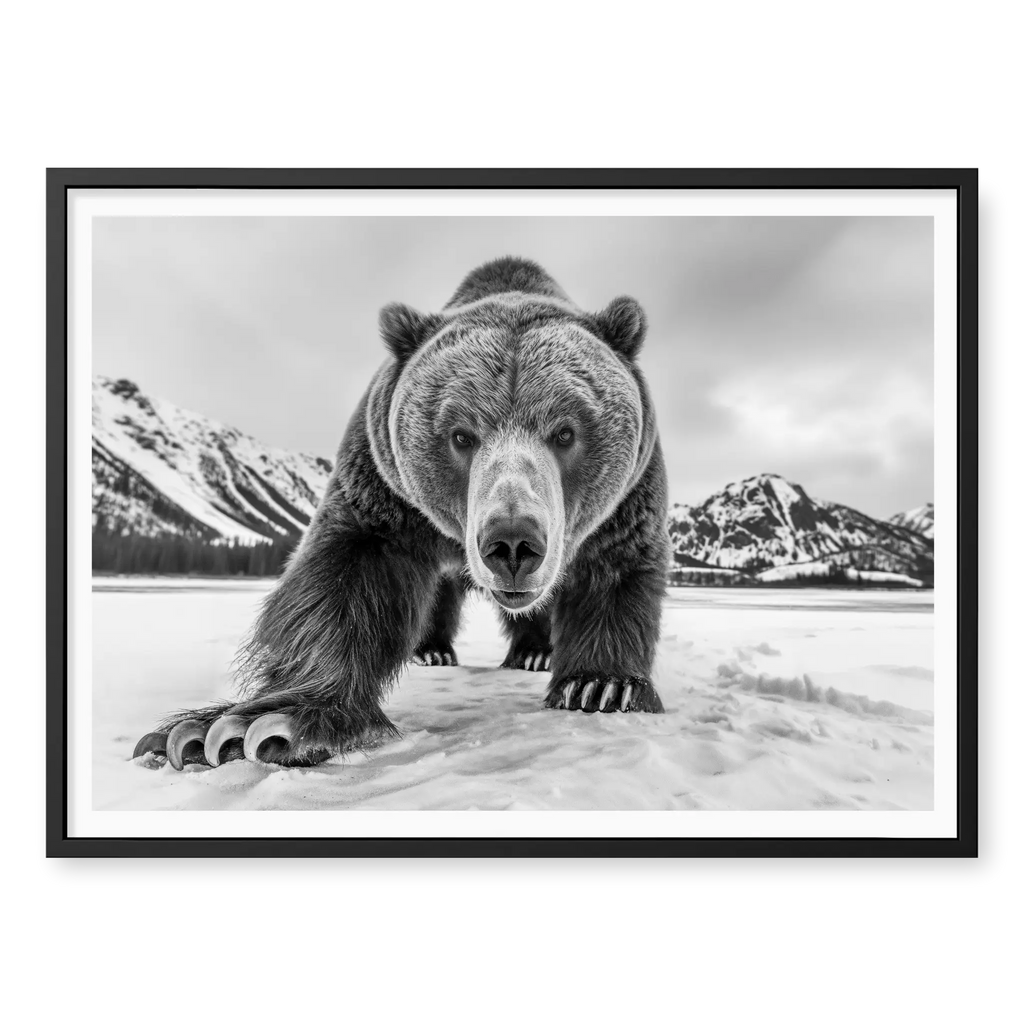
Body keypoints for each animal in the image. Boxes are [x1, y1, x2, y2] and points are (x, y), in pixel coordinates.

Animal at [133, 256, 670, 771]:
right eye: (461, 434)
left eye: (565, 431)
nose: (513, 541)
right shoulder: (385, 493)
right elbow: (347, 580)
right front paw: (235, 729)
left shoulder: (624, 505)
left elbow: (613, 574)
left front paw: (600, 686)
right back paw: (433, 649)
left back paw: (535, 653)